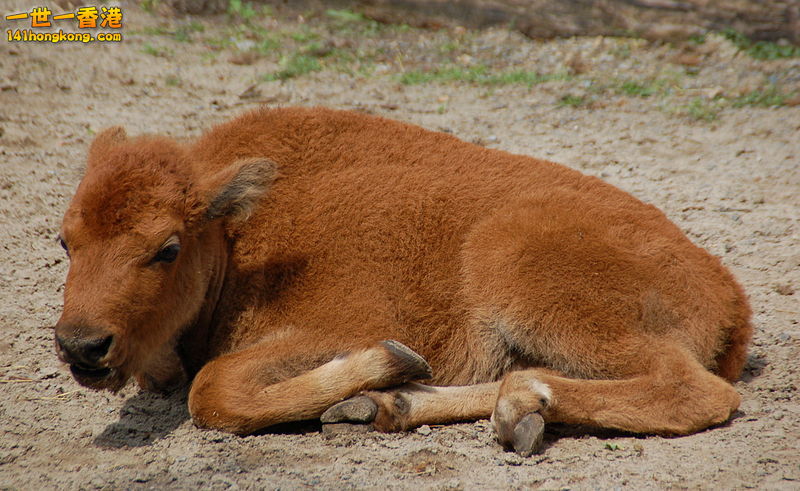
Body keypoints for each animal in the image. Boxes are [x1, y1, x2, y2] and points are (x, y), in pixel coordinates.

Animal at [54, 107, 751, 455]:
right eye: (65, 240)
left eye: (167, 248)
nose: (80, 346)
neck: (234, 233)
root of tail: (730, 294)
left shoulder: (330, 328)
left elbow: (214, 391)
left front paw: (390, 362)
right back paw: (386, 407)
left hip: (521, 273)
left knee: (690, 389)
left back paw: (517, 407)